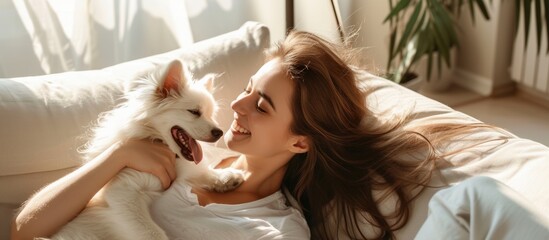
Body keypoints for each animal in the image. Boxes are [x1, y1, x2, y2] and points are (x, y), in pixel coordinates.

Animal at [48, 59, 242, 240]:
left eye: (210, 115)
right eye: (194, 112)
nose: (219, 132)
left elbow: (199, 172)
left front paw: (225, 177)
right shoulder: (123, 191)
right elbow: (151, 233)